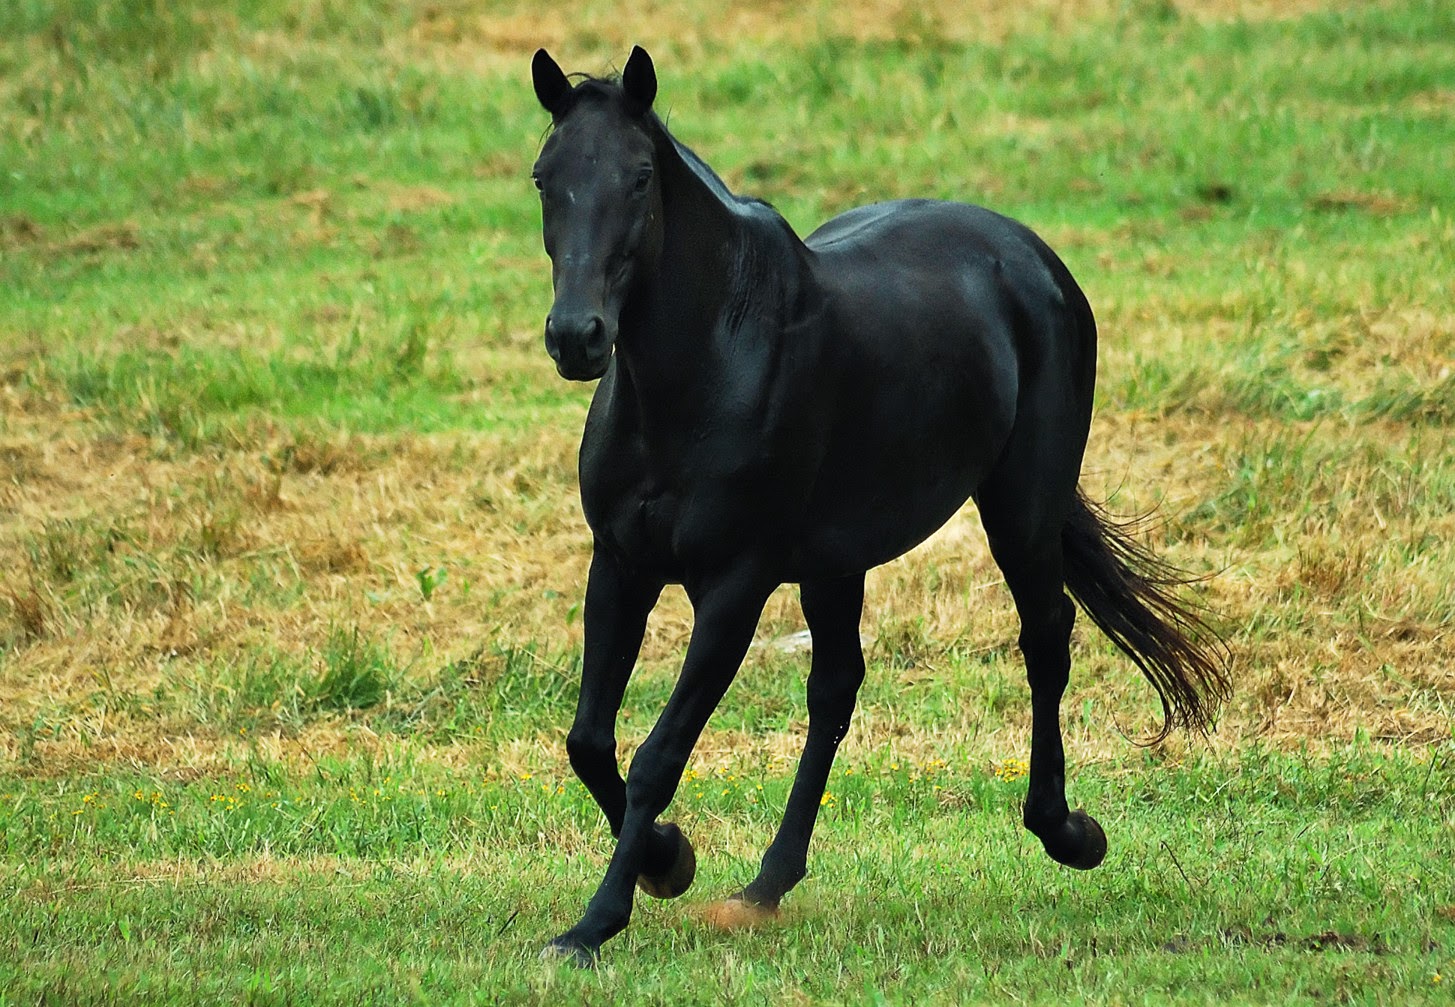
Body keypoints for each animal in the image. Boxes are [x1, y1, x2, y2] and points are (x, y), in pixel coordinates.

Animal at [528, 45, 1230, 965]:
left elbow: (656, 754)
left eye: (640, 177)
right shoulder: (620, 565)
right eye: (545, 177)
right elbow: (589, 740)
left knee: (1044, 639)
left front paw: (594, 921)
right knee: (835, 689)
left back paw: (1067, 831)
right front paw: (668, 860)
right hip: (836, 562)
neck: (710, 359)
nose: (576, 338)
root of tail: (1029, 254)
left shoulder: (733, 585)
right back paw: (763, 886)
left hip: (1021, 509)